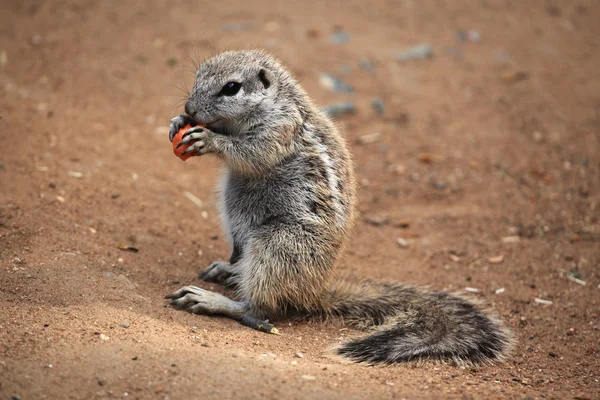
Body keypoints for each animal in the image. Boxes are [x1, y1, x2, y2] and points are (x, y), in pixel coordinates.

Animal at [164, 48, 510, 364]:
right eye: (198, 75)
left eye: (231, 87)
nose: (189, 107)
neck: (274, 100)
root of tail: (316, 292)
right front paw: (179, 121)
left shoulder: (280, 130)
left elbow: (252, 153)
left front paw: (209, 139)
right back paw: (227, 269)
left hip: (277, 244)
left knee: (260, 308)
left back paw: (213, 300)